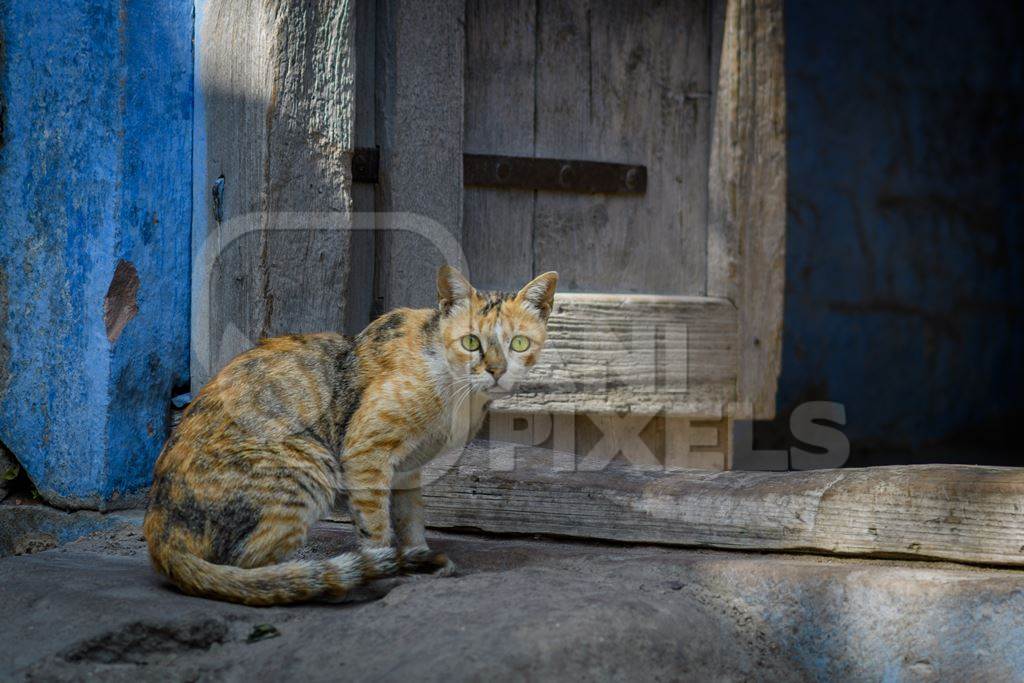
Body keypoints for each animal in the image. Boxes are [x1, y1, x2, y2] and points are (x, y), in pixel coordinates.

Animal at [143, 266, 557, 602]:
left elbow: (411, 518)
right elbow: (375, 526)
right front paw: (390, 568)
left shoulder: (407, 470)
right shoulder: (366, 453)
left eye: (519, 343)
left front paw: (417, 556)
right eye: (471, 342)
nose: (496, 371)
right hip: (309, 462)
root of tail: (160, 536)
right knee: (249, 568)